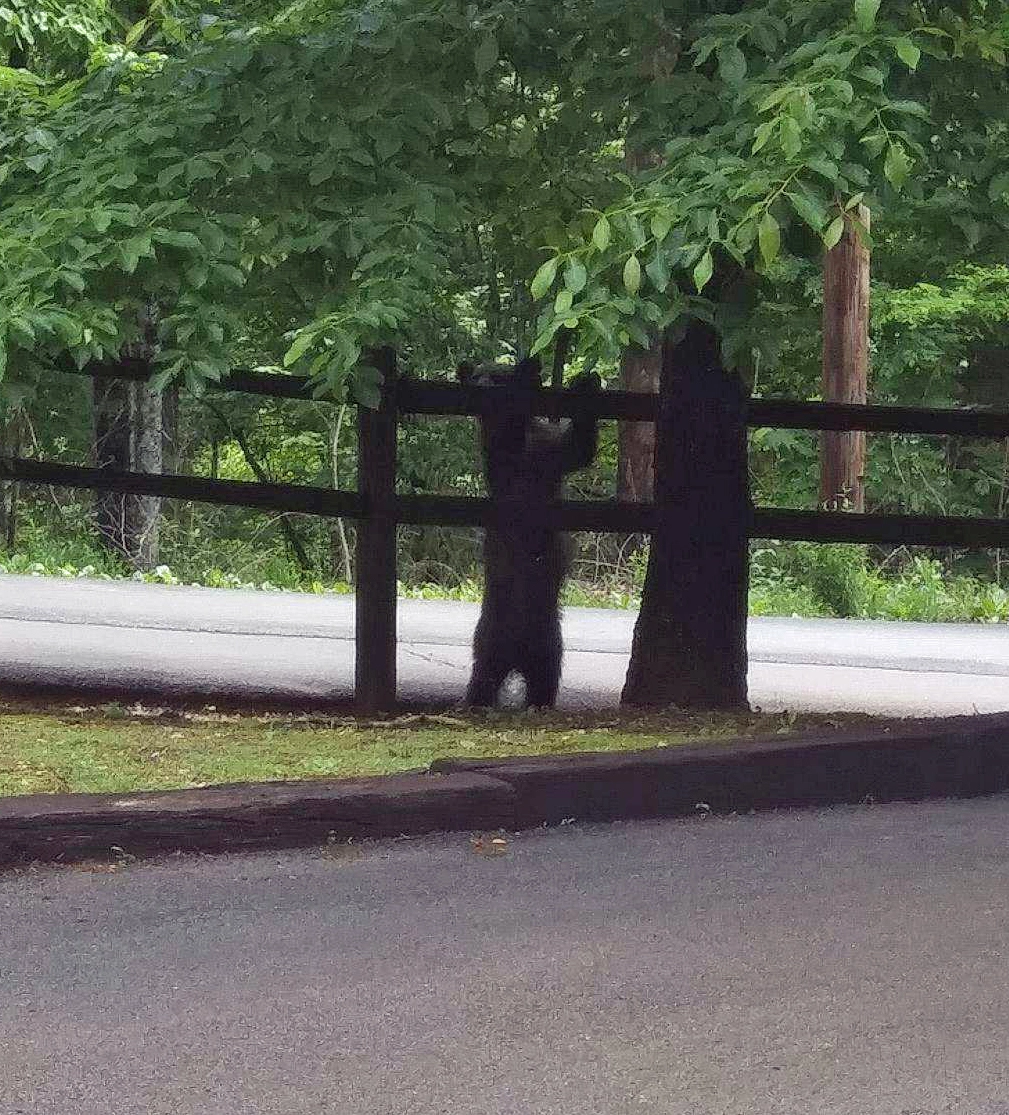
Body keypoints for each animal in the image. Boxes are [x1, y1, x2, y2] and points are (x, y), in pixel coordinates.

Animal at [457, 356, 597, 704]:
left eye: (495, 375)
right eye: (476, 375)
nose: (480, 383)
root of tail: (516, 656)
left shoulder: (549, 453)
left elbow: (576, 449)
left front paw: (586, 383)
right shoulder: (504, 462)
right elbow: (504, 441)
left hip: (550, 645)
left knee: (546, 680)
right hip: (489, 638)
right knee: (482, 677)